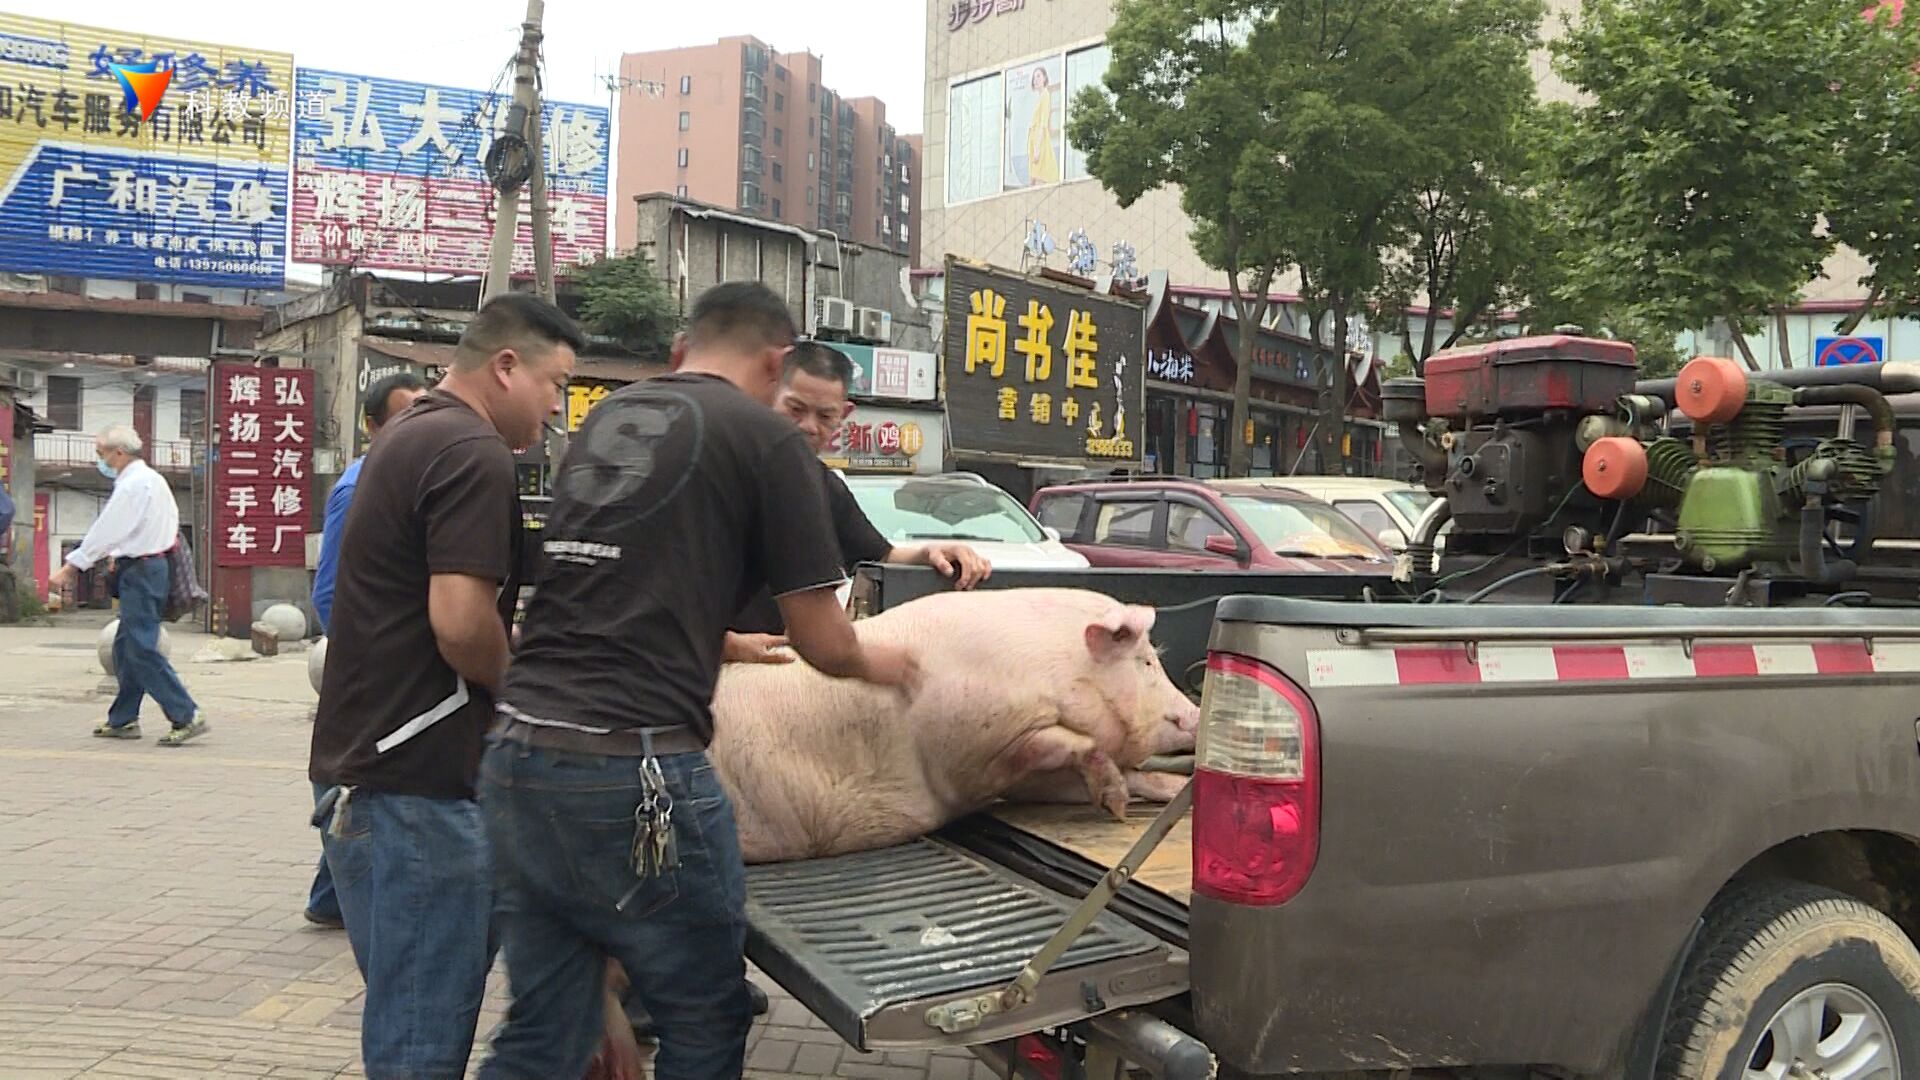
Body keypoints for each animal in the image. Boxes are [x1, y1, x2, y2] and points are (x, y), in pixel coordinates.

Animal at [706, 584, 1198, 860]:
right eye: (1147, 661)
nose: (1194, 713)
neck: (1053, 670)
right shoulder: (975, 752)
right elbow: (1067, 743)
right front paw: (1116, 802)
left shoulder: (1023, 779)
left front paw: (1138, 800)